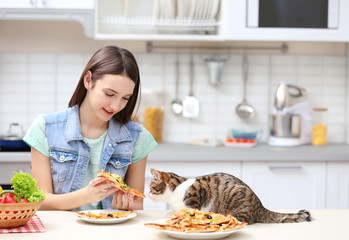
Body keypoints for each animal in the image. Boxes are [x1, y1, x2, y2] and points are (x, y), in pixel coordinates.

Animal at [148, 168, 312, 224]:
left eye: (151, 188)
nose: (148, 194)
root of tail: (260, 206)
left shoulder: (197, 193)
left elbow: (191, 209)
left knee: (244, 220)